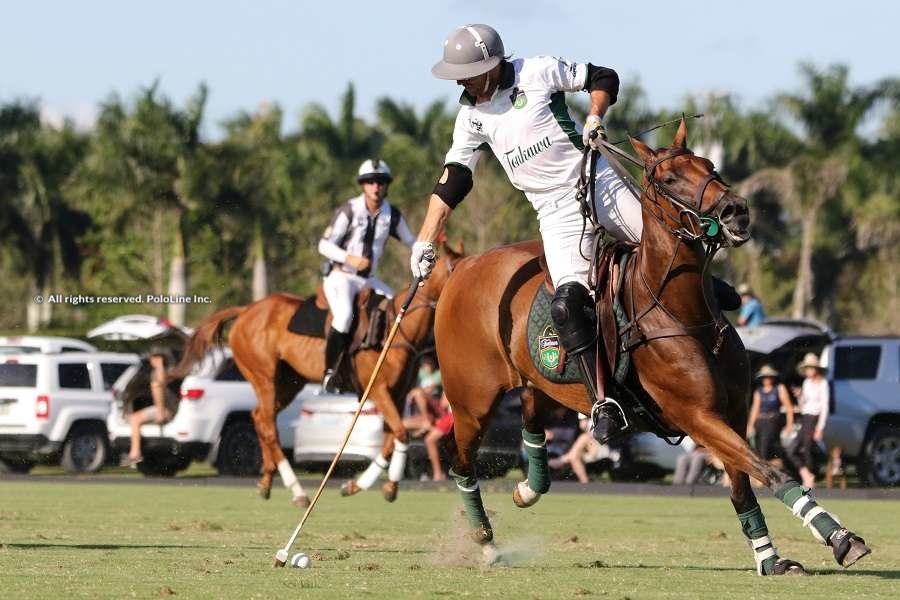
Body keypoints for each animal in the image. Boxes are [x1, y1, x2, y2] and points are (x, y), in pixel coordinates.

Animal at [172, 245, 464, 506]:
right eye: (452, 266)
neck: (398, 329)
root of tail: (245, 310)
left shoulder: (399, 394)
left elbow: (392, 436)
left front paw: (369, 486)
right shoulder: (377, 390)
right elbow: (400, 433)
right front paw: (375, 485)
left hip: (289, 382)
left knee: (260, 418)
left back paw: (267, 482)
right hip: (263, 376)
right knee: (267, 424)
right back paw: (297, 491)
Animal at [436, 119, 872, 576]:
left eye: (710, 165)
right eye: (668, 179)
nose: (736, 210)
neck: (683, 312)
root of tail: (462, 267)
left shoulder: (733, 412)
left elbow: (742, 486)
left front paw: (770, 559)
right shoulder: (697, 415)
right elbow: (768, 470)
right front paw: (840, 537)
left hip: (542, 387)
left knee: (531, 429)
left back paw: (525, 490)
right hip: (472, 402)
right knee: (459, 459)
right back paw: (486, 543)